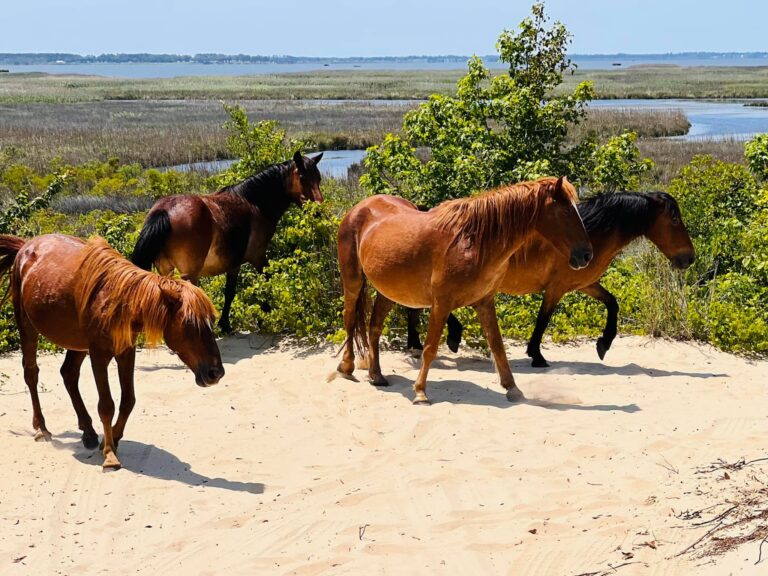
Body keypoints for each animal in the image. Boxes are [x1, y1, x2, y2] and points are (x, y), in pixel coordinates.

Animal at [0, 233, 224, 469]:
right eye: (190, 323)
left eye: (212, 320)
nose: (215, 373)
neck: (119, 301)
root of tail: (26, 246)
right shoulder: (99, 355)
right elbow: (106, 406)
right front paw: (109, 454)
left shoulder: (126, 352)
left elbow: (128, 401)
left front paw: (113, 440)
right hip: (27, 326)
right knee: (31, 373)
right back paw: (41, 428)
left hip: (77, 344)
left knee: (69, 374)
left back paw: (88, 432)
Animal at [131, 151, 323, 333]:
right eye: (303, 178)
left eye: (318, 178)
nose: (318, 211)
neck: (253, 203)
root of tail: (164, 211)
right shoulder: (258, 256)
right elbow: (267, 281)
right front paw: (266, 313)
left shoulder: (234, 263)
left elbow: (229, 291)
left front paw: (225, 324)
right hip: (189, 275)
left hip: (166, 270)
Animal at [332, 176, 593, 404]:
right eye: (567, 211)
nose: (586, 255)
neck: (473, 243)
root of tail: (359, 208)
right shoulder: (441, 304)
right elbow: (430, 349)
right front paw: (420, 392)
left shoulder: (484, 302)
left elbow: (497, 347)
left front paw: (513, 388)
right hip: (353, 282)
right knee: (350, 320)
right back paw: (346, 367)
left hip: (389, 291)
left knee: (374, 328)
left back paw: (376, 375)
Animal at [406, 191, 696, 366]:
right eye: (674, 218)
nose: (690, 258)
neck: (589, 234)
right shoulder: (556, 288)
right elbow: (543, 320)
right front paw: (536, 355)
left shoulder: (583, 284)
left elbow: (612, 303)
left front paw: (604, 343)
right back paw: (447, 338)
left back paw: (416, 344)